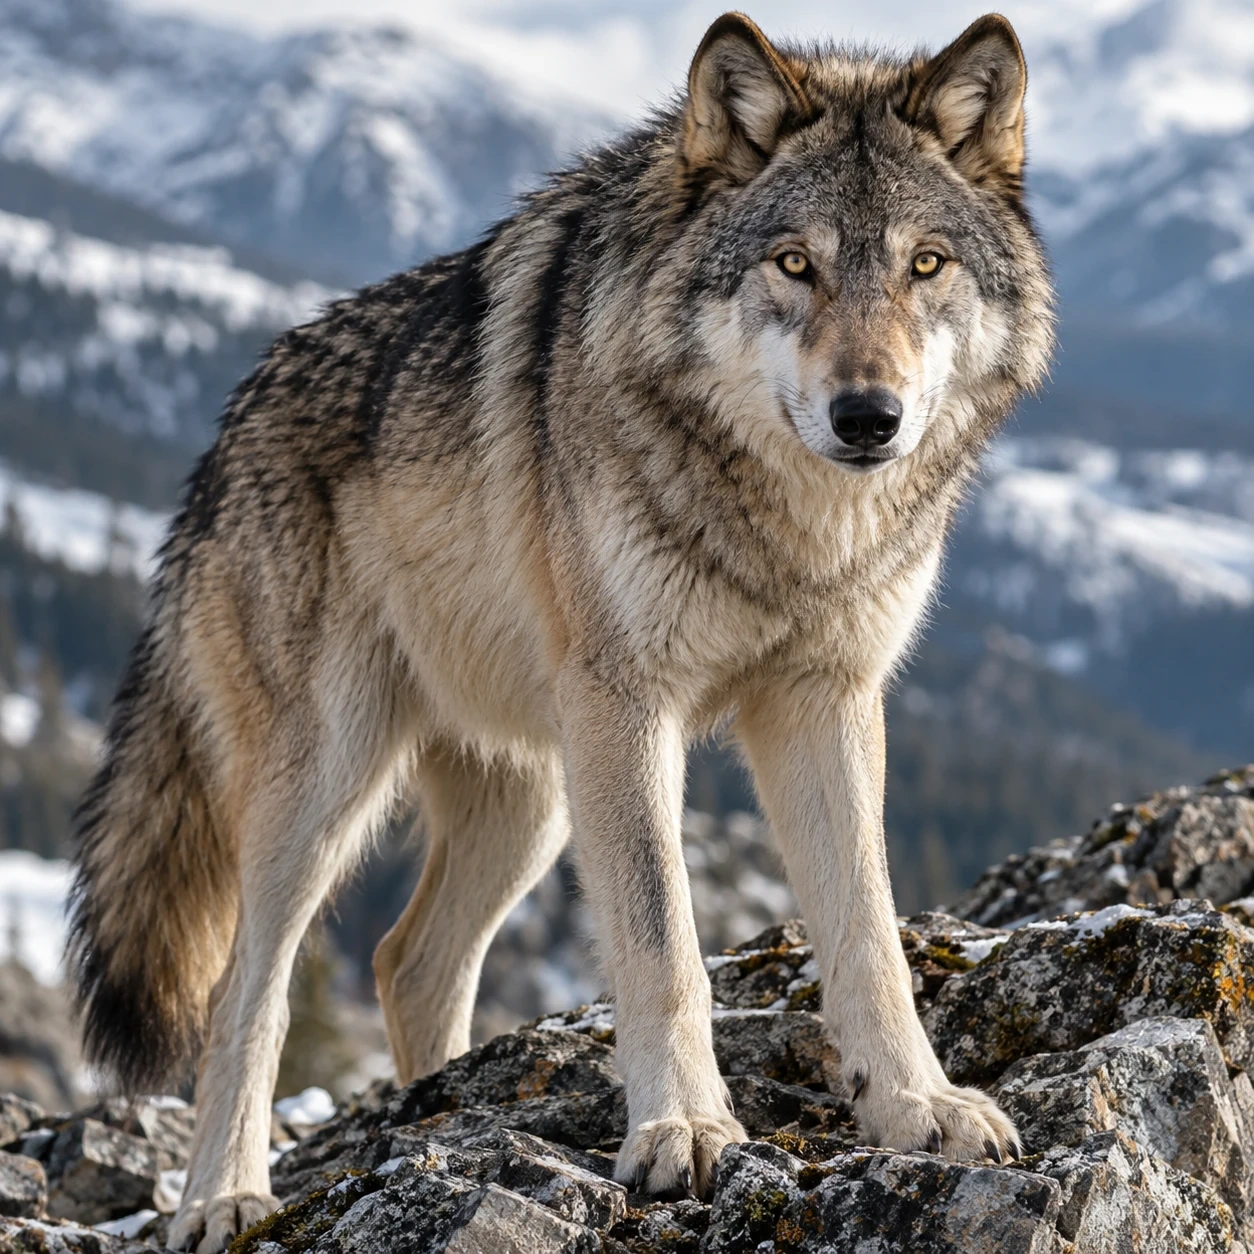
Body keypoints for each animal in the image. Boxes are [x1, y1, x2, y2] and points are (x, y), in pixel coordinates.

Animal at [68, 10, 1052, 1250]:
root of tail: (220, 440)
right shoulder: (629, 707)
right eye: (796, 263)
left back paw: (436, 1115)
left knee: (406, 961)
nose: (868, 416)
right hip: (332, 784)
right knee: (250, 984)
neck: (787, 530)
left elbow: (871, 937)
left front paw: (920, 1107)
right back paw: (224, 1196)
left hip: (532, 796)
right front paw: (685, 1130)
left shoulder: (824, 703)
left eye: (927, 264)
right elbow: (663, 944)